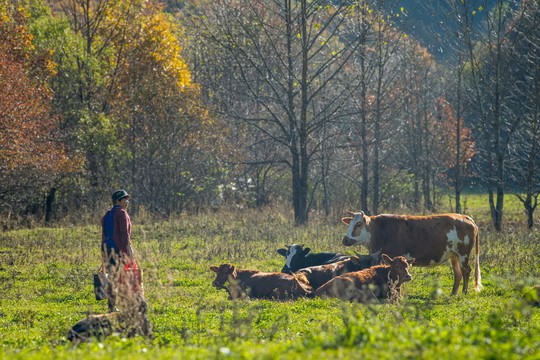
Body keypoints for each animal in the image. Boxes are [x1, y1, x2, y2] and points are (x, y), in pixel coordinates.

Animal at [342, 211, 480, 296]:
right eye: (350, 224)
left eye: (358, 224)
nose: (345, 239)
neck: (379, 231)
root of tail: (465, 217)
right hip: (454, 255)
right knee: (458, 274)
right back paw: (453, 294)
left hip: (463, 254)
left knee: (466, 271)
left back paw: (464, 292)